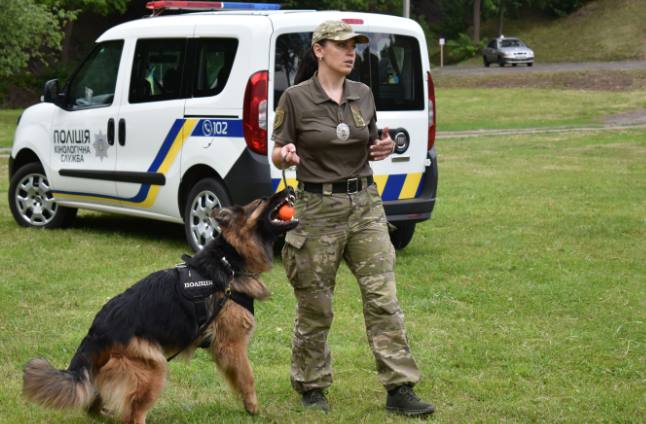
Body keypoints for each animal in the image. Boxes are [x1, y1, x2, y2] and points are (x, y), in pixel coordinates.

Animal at [22, 190, 302, 424]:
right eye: (261, 200)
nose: (290, 188)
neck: (229, 259)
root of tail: (95, 333)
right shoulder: (231, 344)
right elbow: (247, 377)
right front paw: (253, 409)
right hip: (154, 368)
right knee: (133, 415)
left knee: (95, 406)